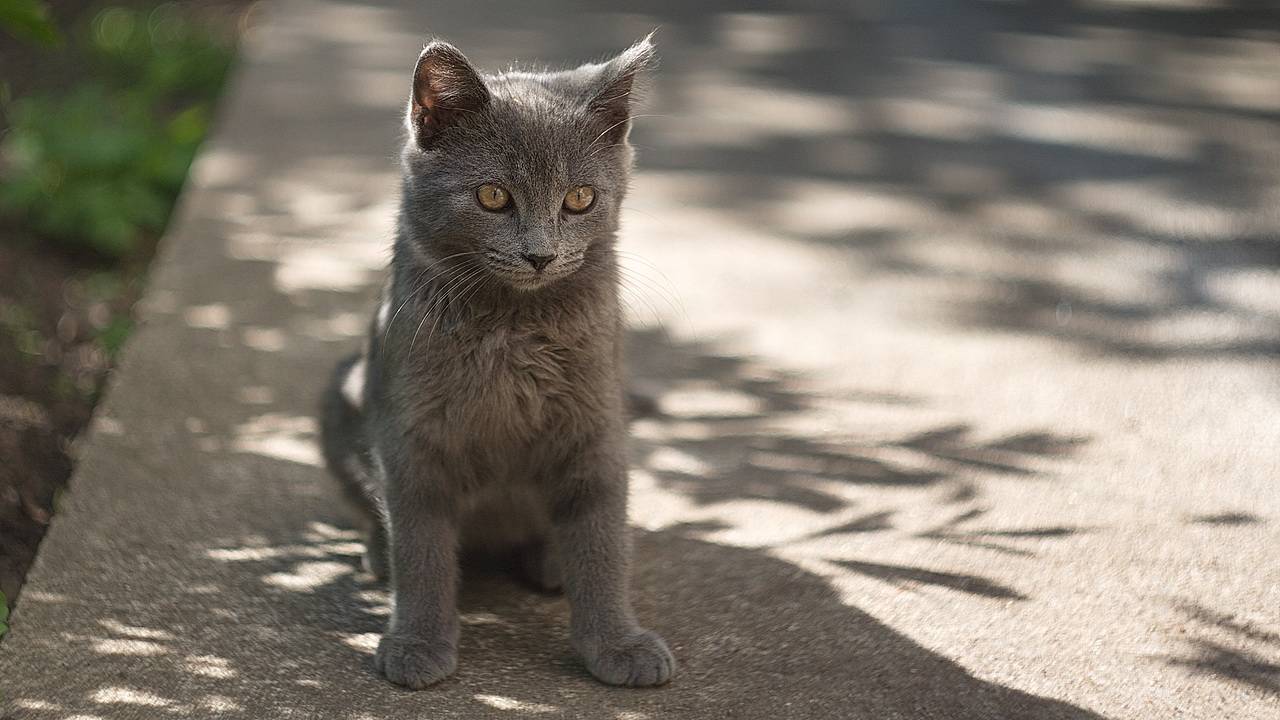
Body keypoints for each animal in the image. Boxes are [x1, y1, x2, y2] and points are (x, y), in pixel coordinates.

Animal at [318, 36, 675, 686]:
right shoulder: (412, 440)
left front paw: (618, 644)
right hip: (341, 392)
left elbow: (603, 544)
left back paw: (550, 561)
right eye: (492, 196)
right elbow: (422, 550)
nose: (540, 255)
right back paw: (377, 552)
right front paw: (418, 643)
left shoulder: (596, 432)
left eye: (579, 198)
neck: (513, 329)